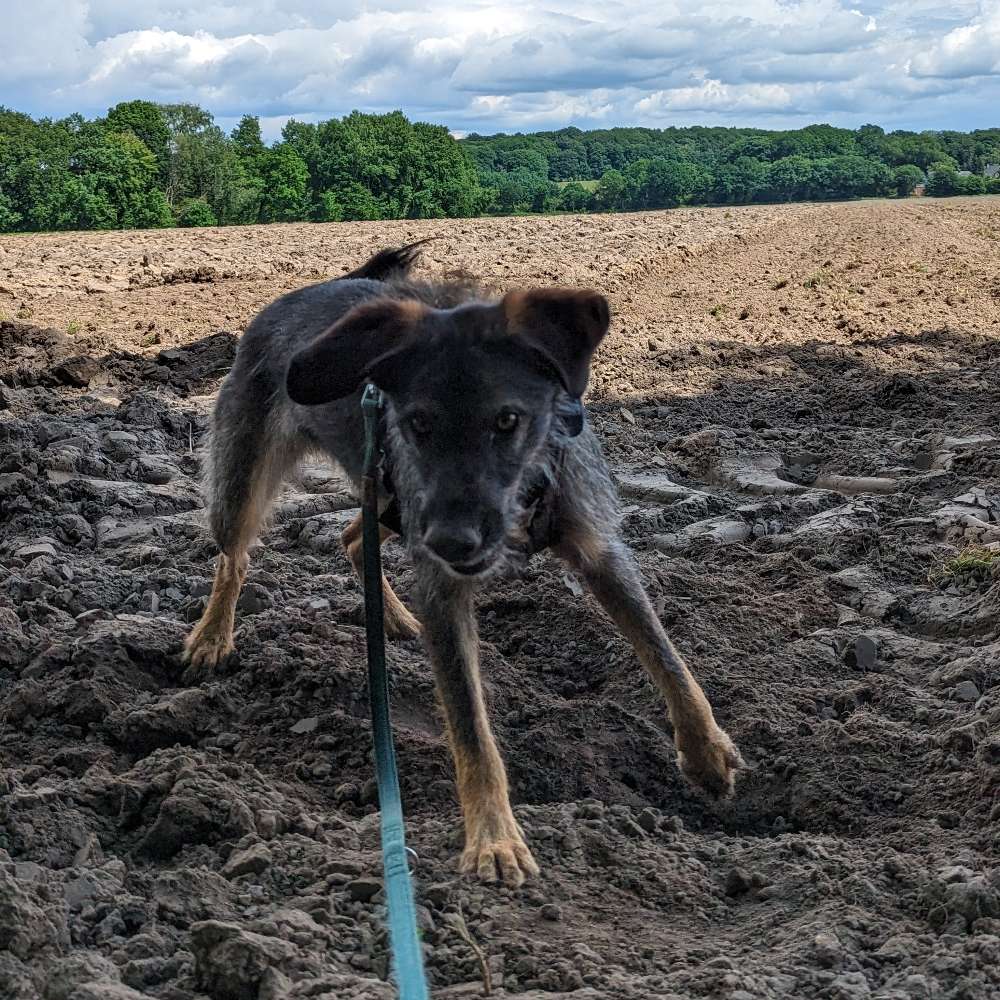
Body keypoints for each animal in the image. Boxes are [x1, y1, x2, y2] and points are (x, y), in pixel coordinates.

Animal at [184, 242, 744, 884]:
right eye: (418, 422)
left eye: (507, 420)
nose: (455, 542)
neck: (521, 495)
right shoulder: (442, 577)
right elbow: (471, 726)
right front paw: (494, 838)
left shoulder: (598, 549)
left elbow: (664, 652)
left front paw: (705, 752)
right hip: (251, 482)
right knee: (234, 556)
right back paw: (212, 636)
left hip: (390, 496)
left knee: (352, 537)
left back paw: (393, 617)